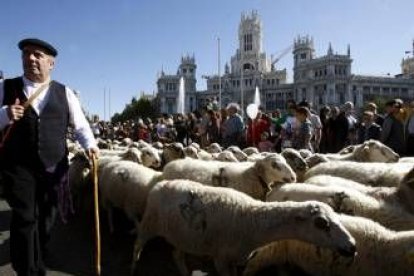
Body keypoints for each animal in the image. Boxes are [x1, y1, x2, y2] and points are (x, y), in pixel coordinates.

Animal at [135, 179, 356, 276]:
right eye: (321, 223)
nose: (352, 246)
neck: (252, 220)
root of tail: (160, 183)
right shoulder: (221, 259)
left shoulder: (239, 260)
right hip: (148, 224)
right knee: (138, 247)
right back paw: (133, 267)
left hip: (182, 235)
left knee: (177, 255)